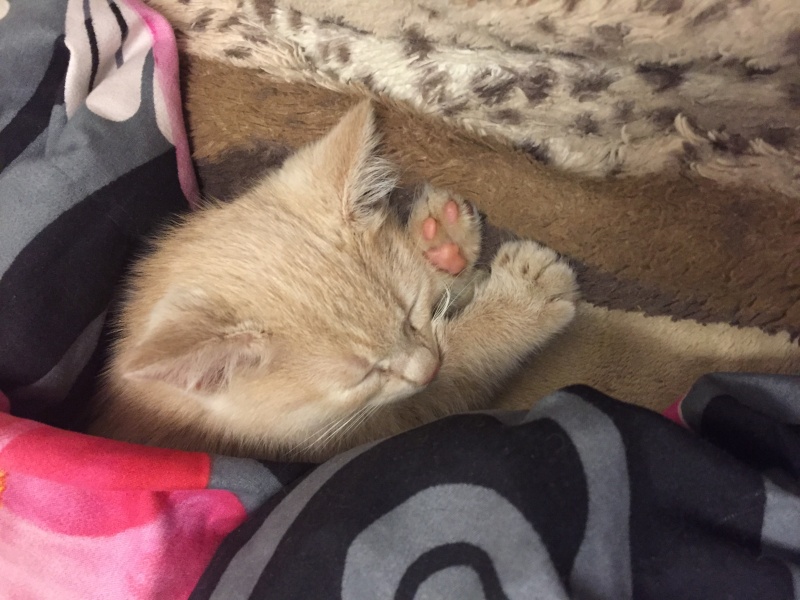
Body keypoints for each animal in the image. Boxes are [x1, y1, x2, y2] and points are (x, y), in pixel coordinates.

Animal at [89, 101, 579, 461]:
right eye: (363, 376)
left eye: (412, 314)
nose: (426, 368)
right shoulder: (368, 431)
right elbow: (457, 375)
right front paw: (521, 304)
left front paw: (439, 246)